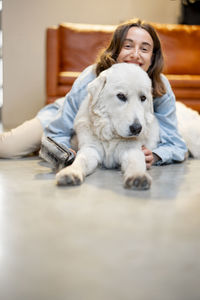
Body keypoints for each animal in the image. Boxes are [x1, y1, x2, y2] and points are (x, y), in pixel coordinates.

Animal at [55, 63, 200, 190]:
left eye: (143, 98)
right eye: (121, 96)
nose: (137, 128)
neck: (111, 136)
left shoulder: (131, 150)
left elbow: (136, 164)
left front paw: (138, 177)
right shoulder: (90, 149)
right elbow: (81, 161)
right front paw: (70, 173)